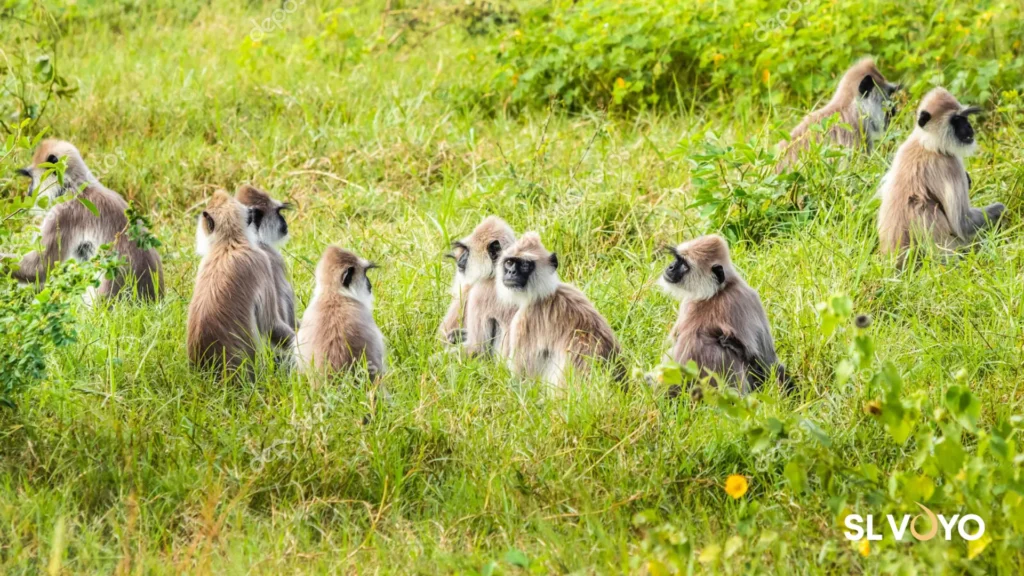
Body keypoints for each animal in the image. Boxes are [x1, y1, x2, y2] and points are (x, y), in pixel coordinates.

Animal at [496, 232, 620, 386]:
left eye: (525, 265)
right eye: (509, 262)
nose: (511, 272)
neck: (543, 295)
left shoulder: (525, 321)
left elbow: (521, 380)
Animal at [658, 234, 790, 395]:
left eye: (684, 265)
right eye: (677, 260)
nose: (670, 267)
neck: (718, 291)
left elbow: (768, 361)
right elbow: (769, 362)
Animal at [877, 87, 1005, 263]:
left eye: (964, 117)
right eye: (956, 119)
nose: (969, 127)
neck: (927, 145)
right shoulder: (950, 165)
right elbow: (961, 224)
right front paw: (1002, 210)